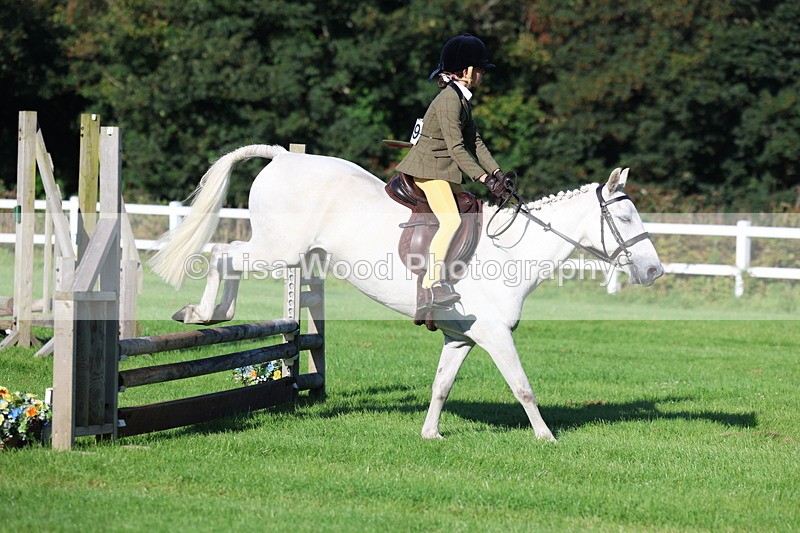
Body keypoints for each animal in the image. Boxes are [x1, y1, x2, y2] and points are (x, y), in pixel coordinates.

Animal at [149, 145, 663, 442]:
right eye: (626, 217)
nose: (655, 270)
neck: (511, 253)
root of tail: (285, 156)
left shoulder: (461, 338)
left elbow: (441, 386)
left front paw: (430, 434)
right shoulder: (496, 336)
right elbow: (523, 388)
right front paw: (546, 439)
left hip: (291, 253)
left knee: (228, 256)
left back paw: (212, 314)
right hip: (279, 249)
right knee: (223, 254)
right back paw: (204, 313)